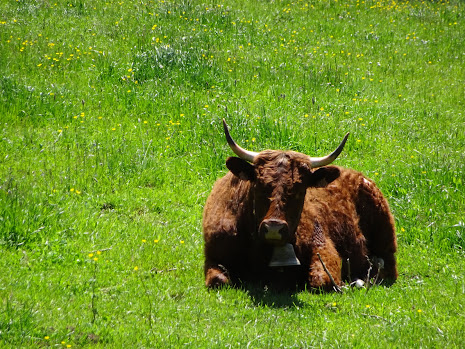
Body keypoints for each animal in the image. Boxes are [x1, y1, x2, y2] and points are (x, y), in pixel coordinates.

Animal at [201, 119, 396, 290]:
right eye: (259, 184)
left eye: (300, 190)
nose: (274, 228)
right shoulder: (213, 256)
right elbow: (218, 280)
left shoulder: (324, 248)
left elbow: (321, 280)